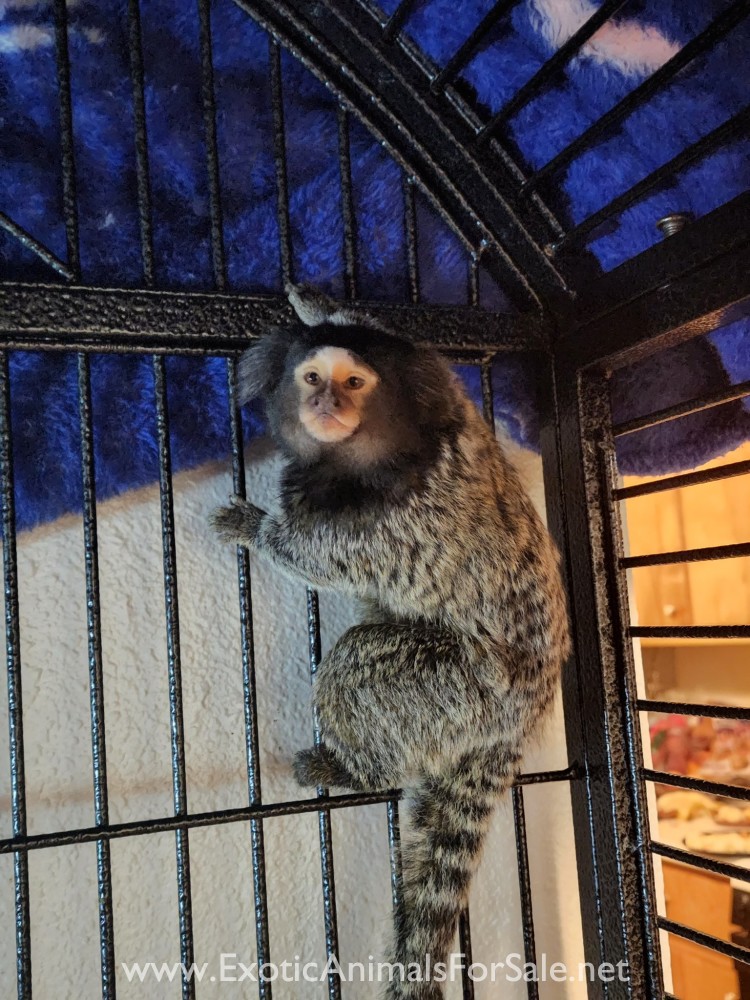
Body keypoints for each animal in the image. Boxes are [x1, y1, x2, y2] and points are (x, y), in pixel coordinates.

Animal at [212, 284, 570, 1000]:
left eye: (355, 383)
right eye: (312, 378)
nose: (328, 405)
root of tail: (520, 722)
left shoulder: (380, 528)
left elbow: (306, 555)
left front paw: (251, 526)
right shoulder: (457, 403)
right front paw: (313, 300)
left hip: (462, 693)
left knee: (358, 667)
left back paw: (353, 769)